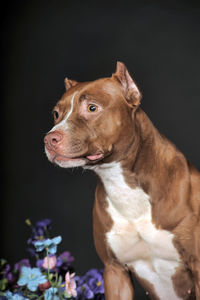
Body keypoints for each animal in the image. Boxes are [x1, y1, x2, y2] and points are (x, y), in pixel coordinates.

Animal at [44, 62, 200, 298]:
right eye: (56, 114)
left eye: (92, 108)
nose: (50, 139)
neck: (122, 183)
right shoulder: (114, 271)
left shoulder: (197, 267)